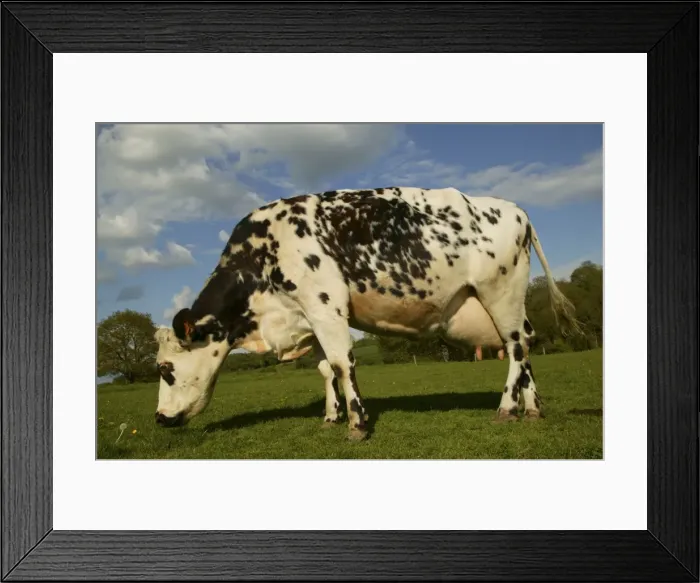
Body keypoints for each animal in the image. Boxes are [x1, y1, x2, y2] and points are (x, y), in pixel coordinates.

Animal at [154, 186, 580, 441]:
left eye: (165, 368)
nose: (159, 418)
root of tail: (514, 209)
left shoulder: (324, 305)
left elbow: (342, 364)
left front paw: (357, 423)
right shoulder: (309, 316)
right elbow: (326, 369)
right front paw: (331, 416)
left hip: (501, 292)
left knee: (517, 347)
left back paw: (507, 408)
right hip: (509, 303)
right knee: (526, 344)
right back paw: (532, 408)